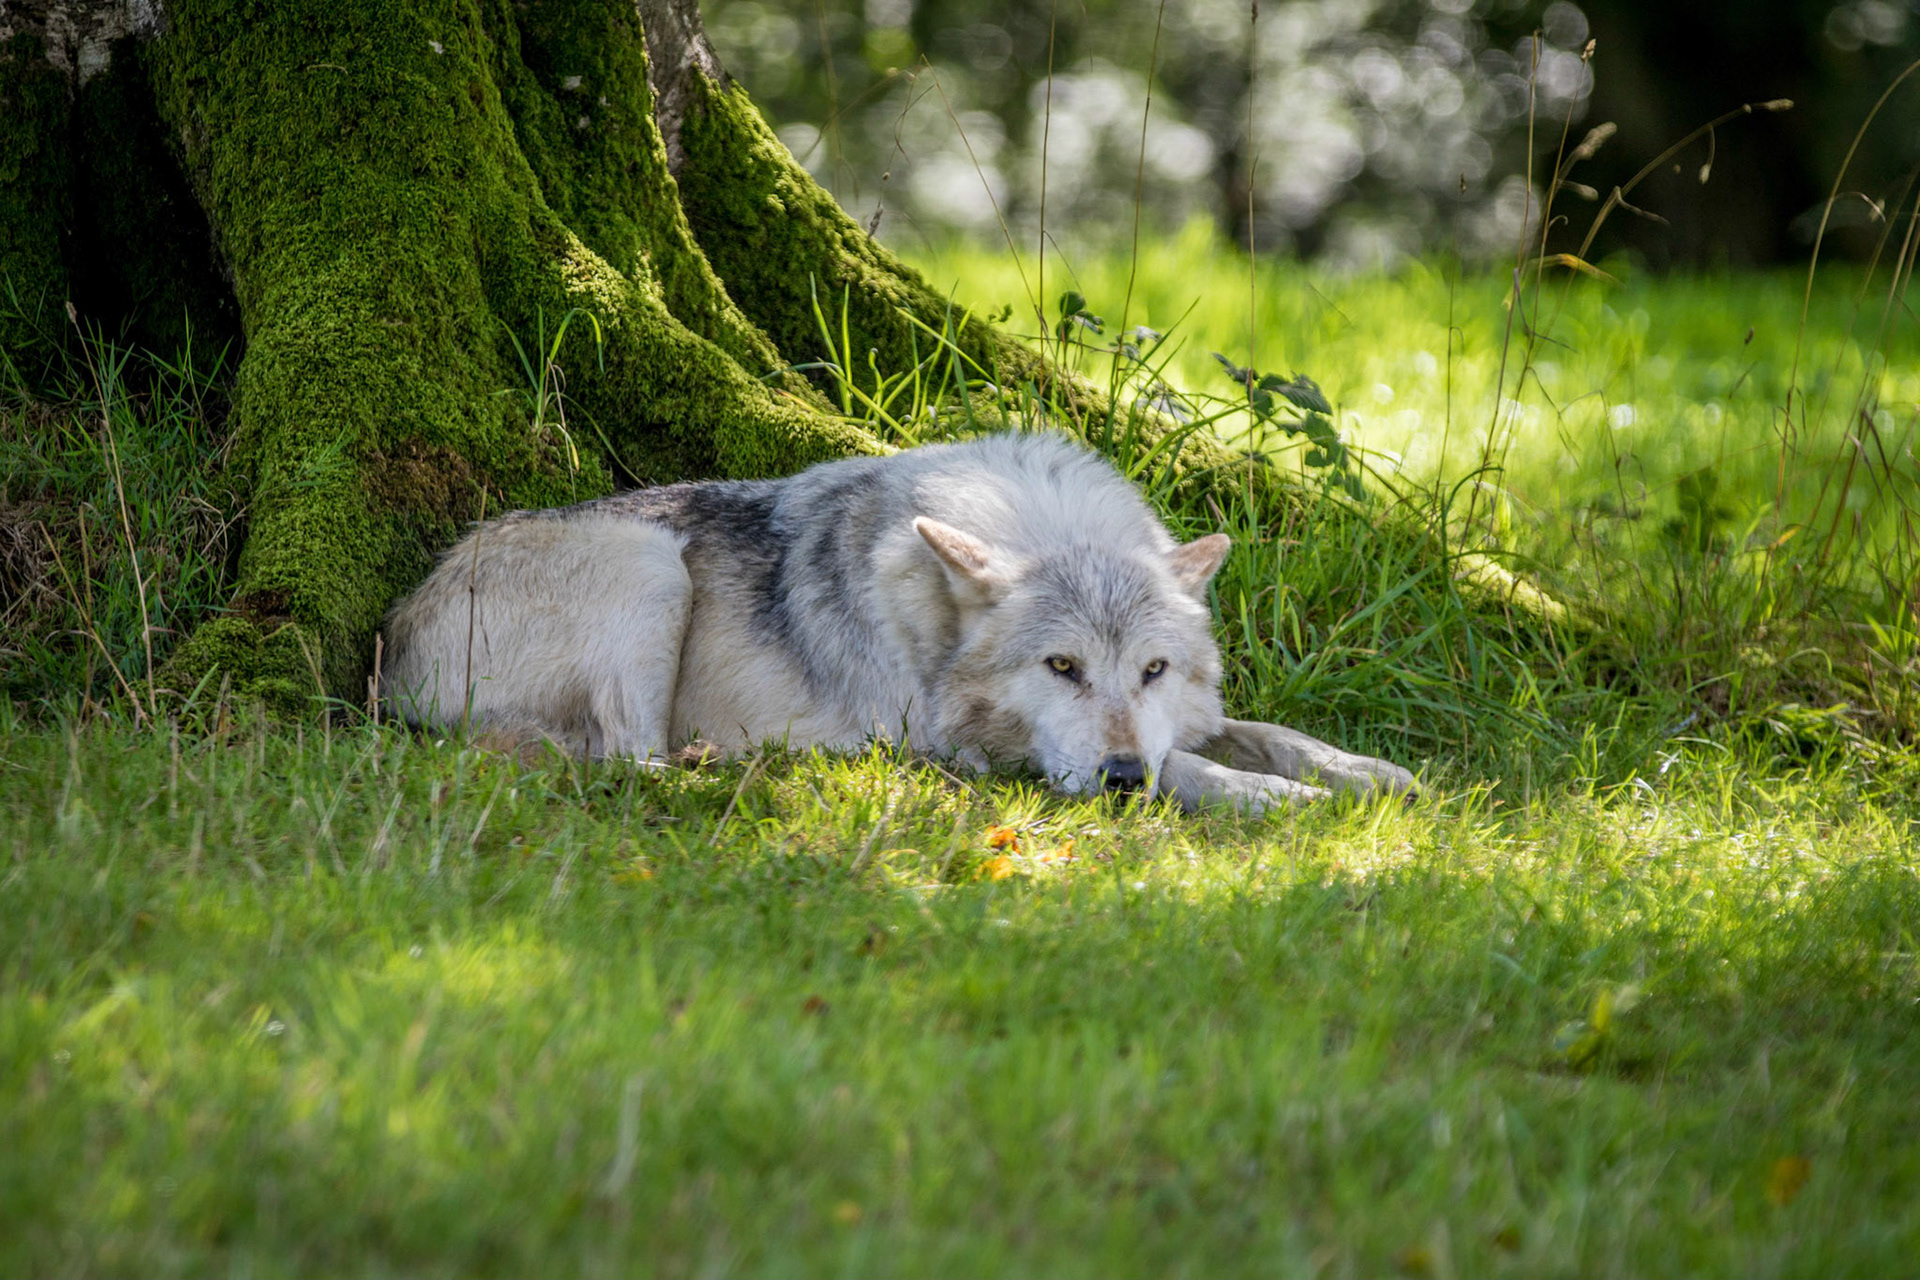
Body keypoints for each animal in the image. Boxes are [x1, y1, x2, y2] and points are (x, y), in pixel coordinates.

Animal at [382, 431, 1416, 813]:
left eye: (1153, 671)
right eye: (1062, 669)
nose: (1122, 779)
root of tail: (387, 654)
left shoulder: (1179, 717)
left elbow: (1259, 729)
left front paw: (1368, 772)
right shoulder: (973, 749)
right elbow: (1197, 768)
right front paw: (1282, 801)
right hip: (651, 567)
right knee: (626, 762)